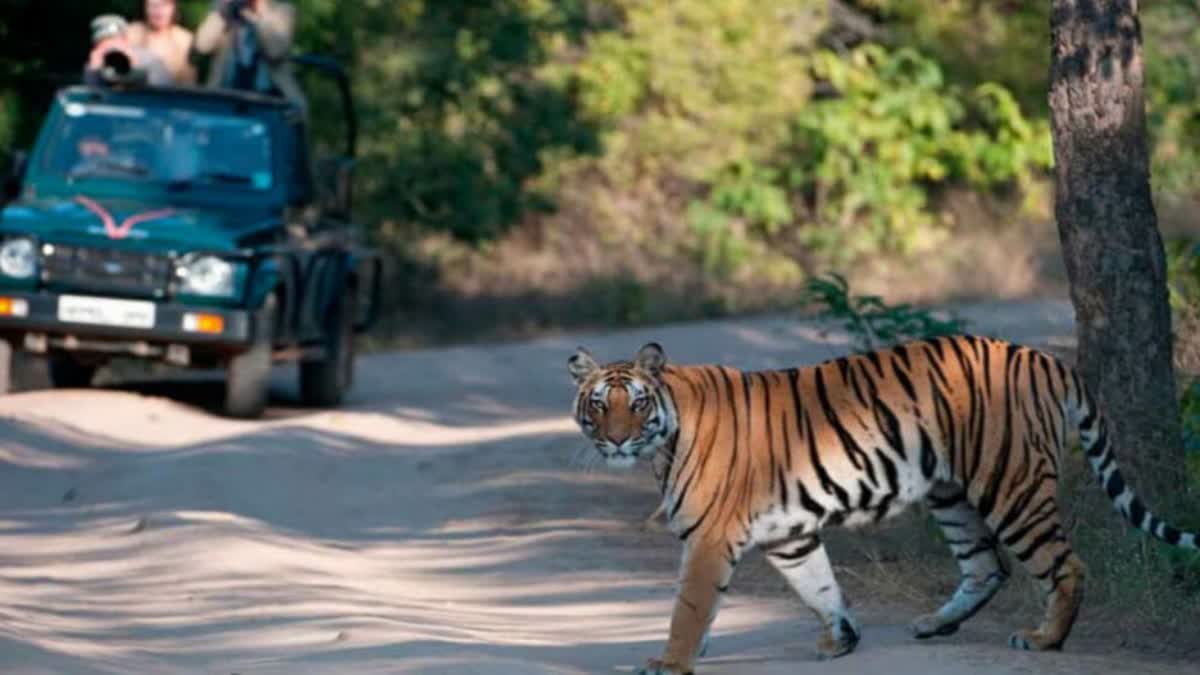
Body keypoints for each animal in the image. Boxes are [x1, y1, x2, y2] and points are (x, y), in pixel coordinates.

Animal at [566, 336, 1200, 672]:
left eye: (635, 404)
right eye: (598, 404)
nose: (615, 440)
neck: (664, 438)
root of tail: (1044, 357)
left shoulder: (710, 537)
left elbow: (690, 607)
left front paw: (669, 662)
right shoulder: (789, 536)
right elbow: (819, 586)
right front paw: (841, 639)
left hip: (1011, 483)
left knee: (1064, 564)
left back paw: (1046, 638)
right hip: (952, 494)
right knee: (986, 565)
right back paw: (935, 624)